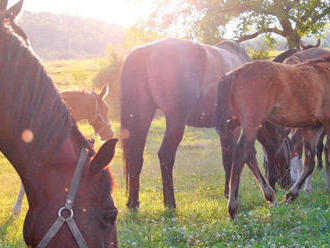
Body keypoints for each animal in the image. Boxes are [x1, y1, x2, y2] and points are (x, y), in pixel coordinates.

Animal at [120, 37, 290, 210]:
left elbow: (228, 159)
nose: (287, 183)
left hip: (142, 117)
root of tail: (146, 51)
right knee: (165, 155)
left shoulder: (225, 129)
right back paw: (170, 203)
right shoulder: (237, 128)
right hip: (175, 121)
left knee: (135, 157)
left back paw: (133, 203)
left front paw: (228, 193)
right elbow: (243, 155)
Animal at [215, 55, 330, 219]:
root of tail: (233, 74)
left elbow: (309, 162)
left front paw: (291, 195)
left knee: (247, 155)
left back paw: (269, 197)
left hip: (236, 125)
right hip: (252, 122)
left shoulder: (312, 128)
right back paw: (233, 208)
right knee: (241, 153)